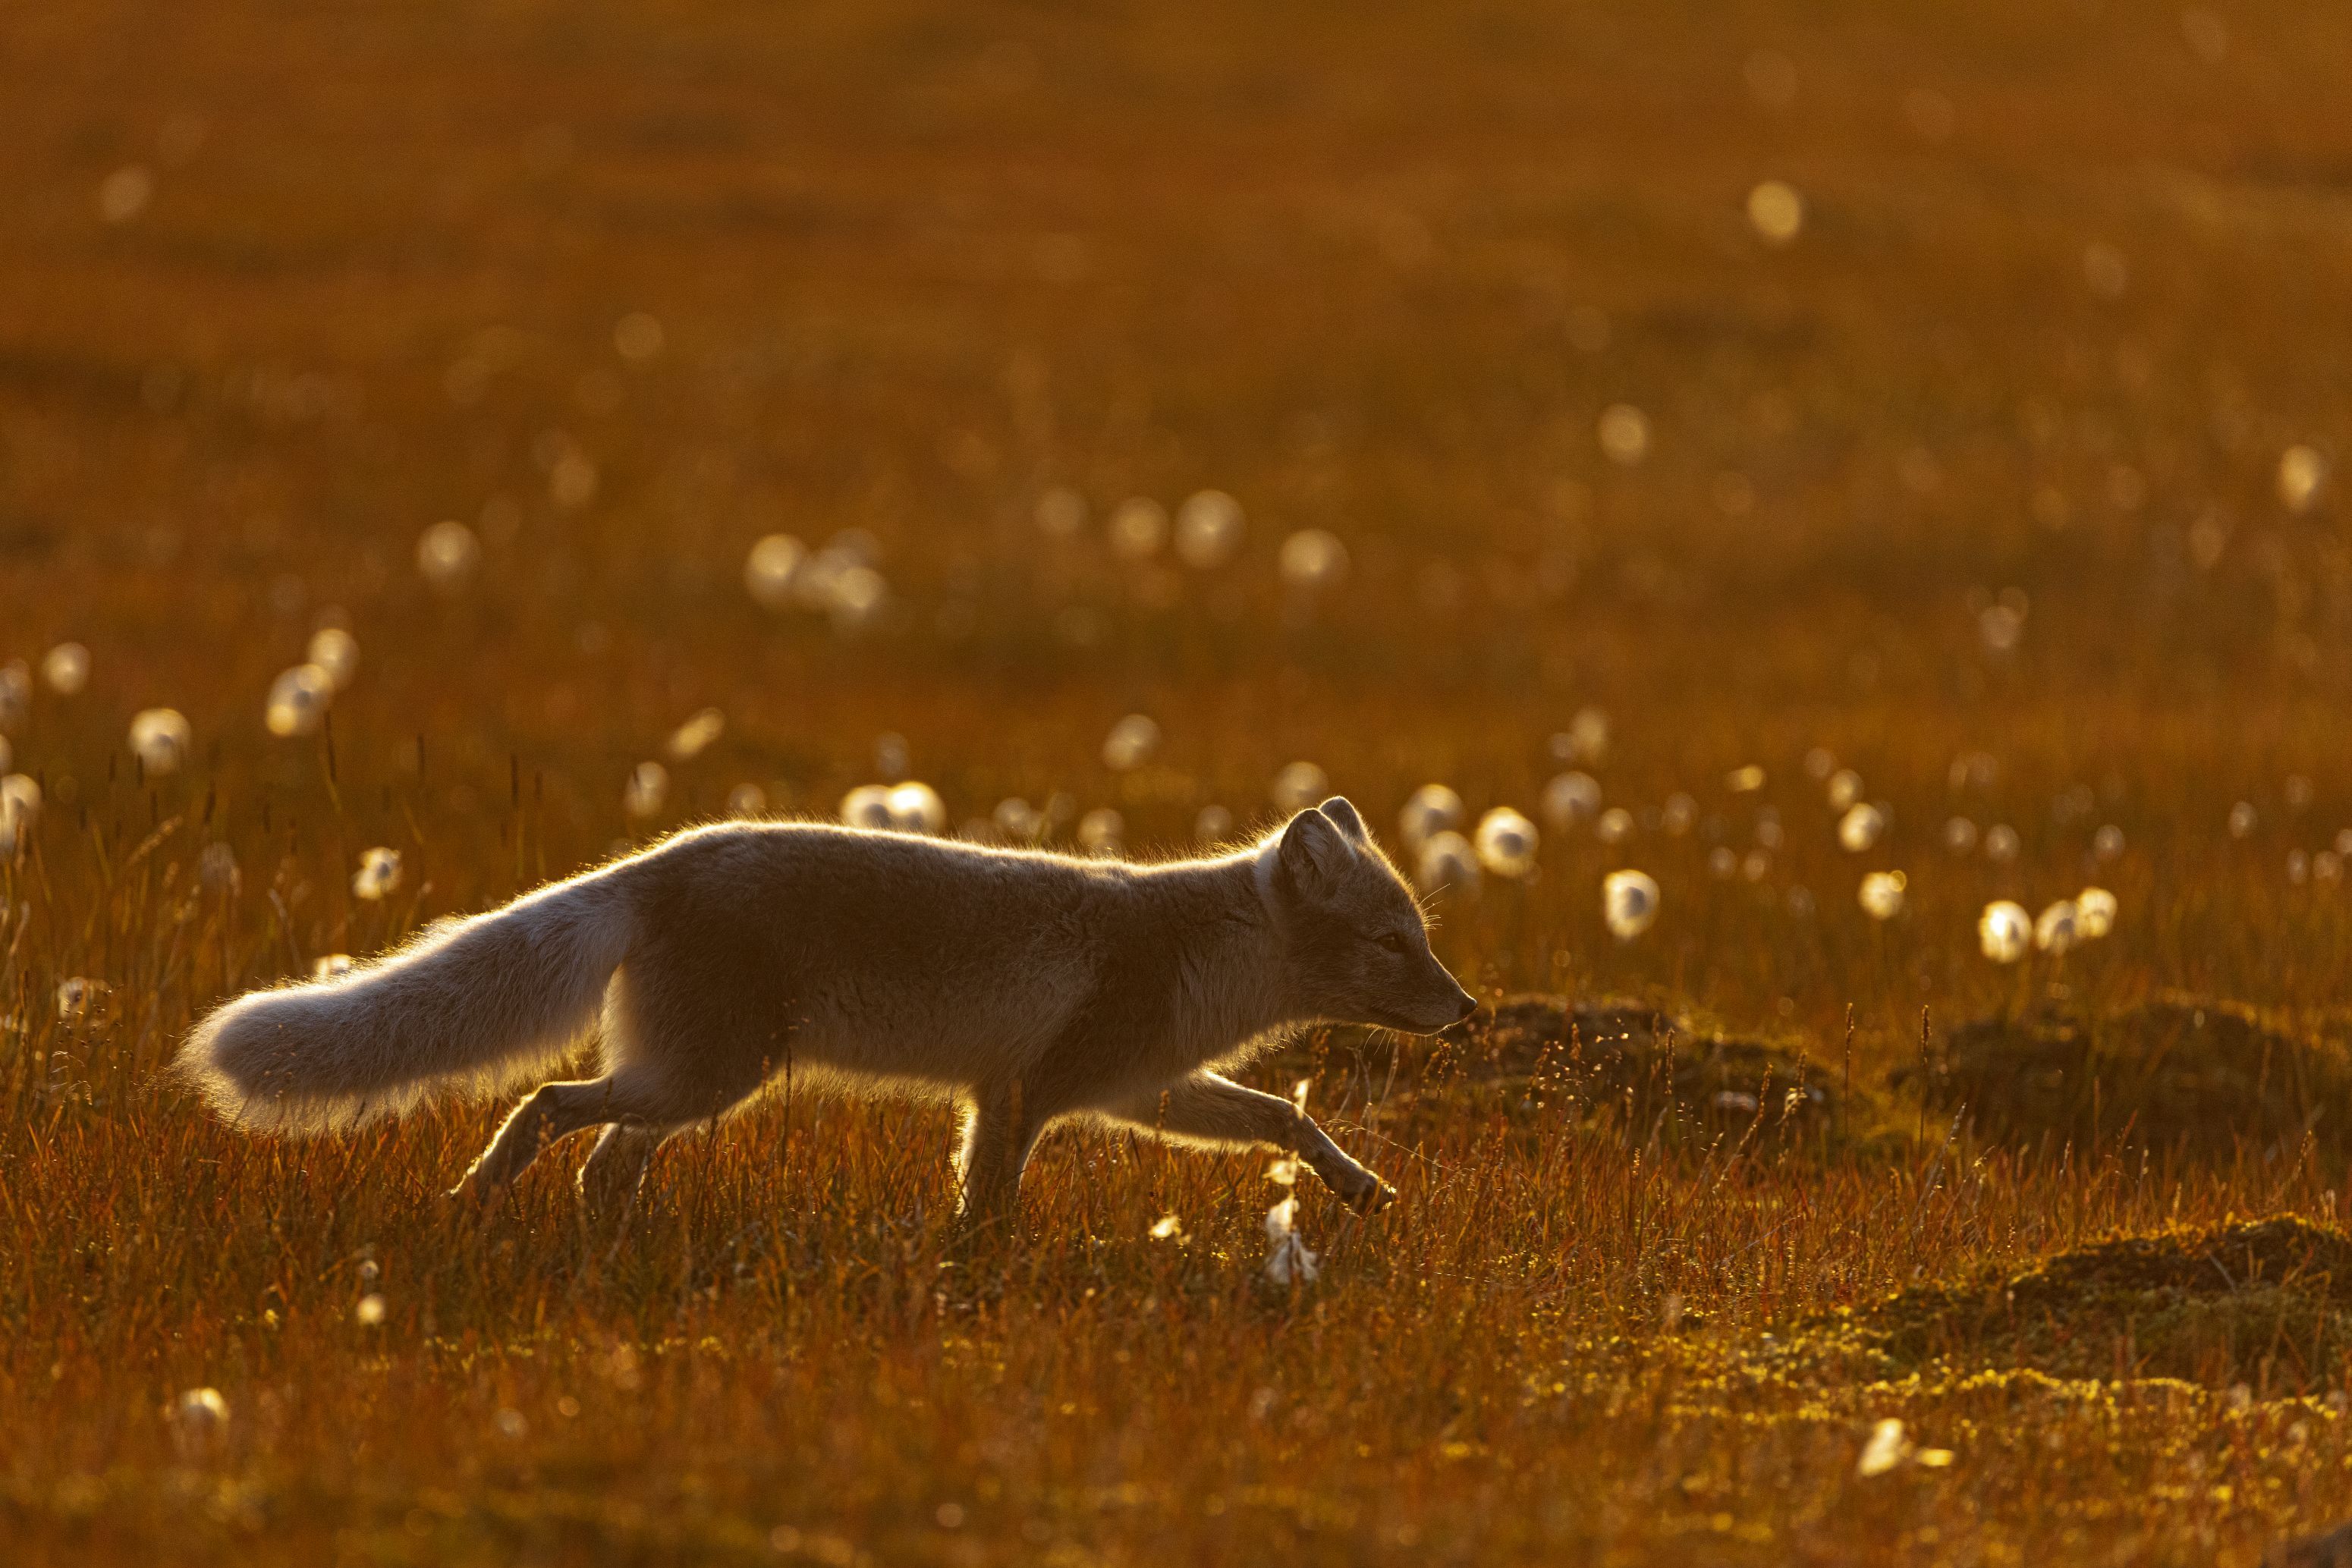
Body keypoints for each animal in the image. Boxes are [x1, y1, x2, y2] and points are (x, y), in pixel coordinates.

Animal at [173, 795, 1476, 1226]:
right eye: (1394, 942)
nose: (1467, 1009)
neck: (1204, 959)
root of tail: (662, 861)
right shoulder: (1029, 1092)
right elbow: (988, 1197)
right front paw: (977, 1277)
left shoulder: (1143, 1087)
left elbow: (1286, 1120)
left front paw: (1361, 1189)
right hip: (709, 1074)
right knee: (549, 1103)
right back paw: (480, 1195)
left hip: (699, 1081)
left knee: (605, 1155)